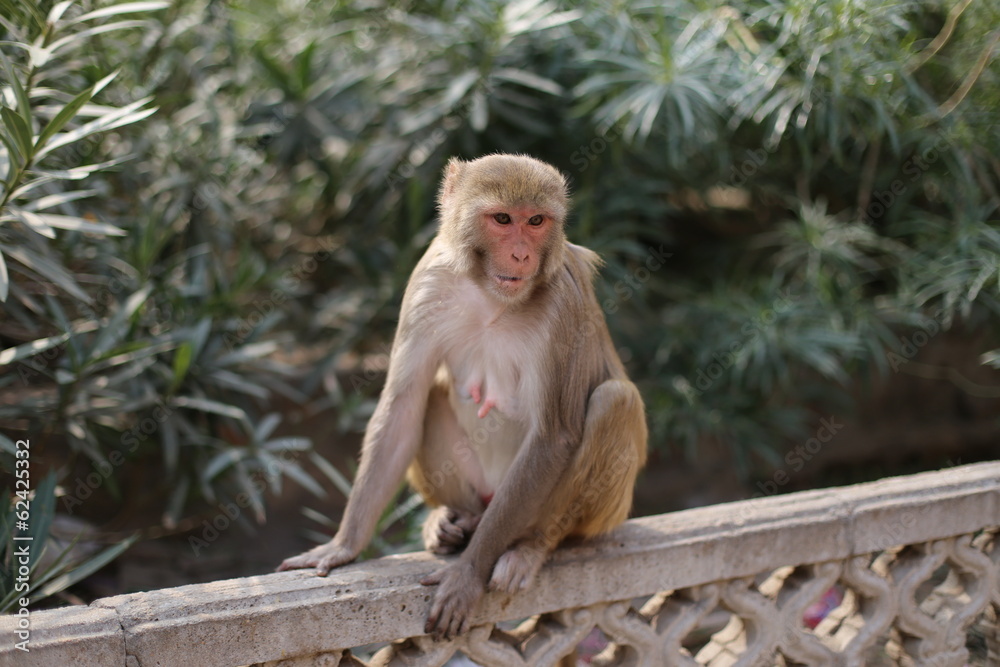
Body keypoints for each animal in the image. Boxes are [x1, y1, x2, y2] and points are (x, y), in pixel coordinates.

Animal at [278, 153, 648, 641]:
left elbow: (553, 436)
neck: (490, 295)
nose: (521, 254)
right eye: (502, 219)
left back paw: (530, 546)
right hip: (477, 486)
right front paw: (343, 545)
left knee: (614, 401)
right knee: (431, 396)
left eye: (536, 221)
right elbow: (402, 407)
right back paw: (453, 520)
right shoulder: (427, 279)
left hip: (591, 512)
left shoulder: (563, 303)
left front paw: (468, 574)